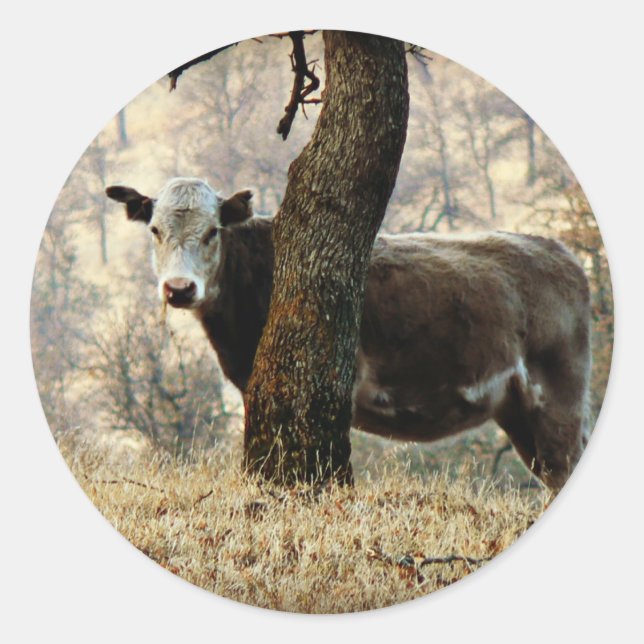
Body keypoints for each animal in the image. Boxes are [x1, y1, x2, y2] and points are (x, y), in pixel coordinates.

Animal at [107, 177, 592, 490]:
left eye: (212, 231)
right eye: (155, 230)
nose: (179, 288)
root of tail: (560, 252)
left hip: (558, 395)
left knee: (563, 464)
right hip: (517, 410)